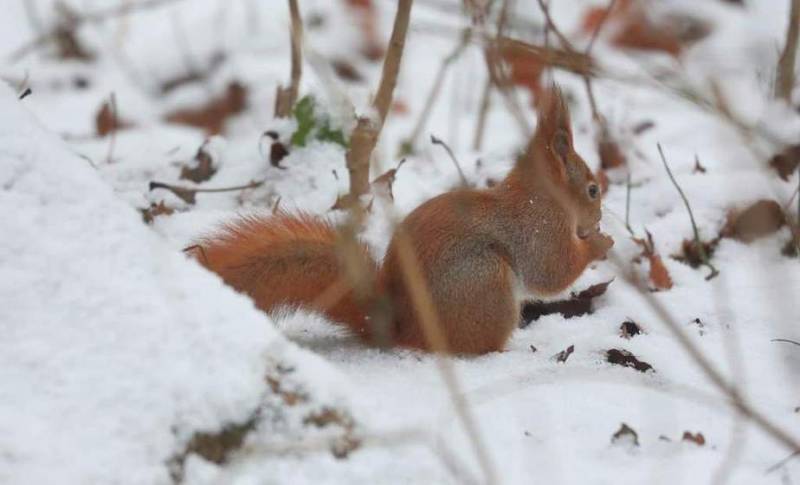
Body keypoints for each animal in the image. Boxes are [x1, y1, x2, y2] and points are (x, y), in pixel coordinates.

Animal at [198, 86, 612, 352]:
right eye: (593, 189)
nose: (598, 216)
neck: (539, 196)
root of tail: (403, 329)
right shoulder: (538, 231)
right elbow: (552, 271)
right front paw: (599, 243)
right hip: (486, 283)